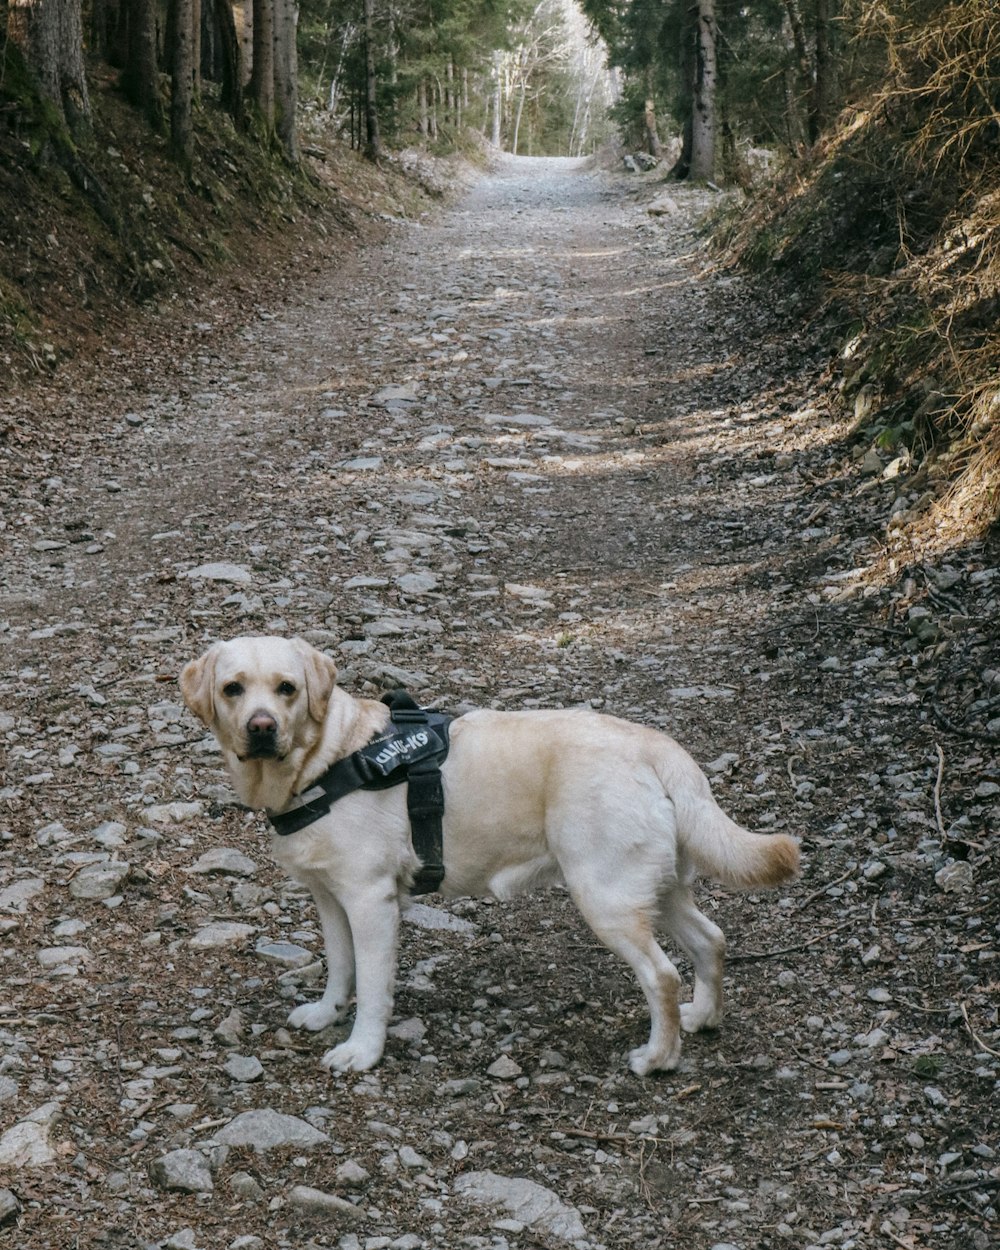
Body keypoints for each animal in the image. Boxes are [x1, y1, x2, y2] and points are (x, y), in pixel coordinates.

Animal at [181, 635, 795, 1075]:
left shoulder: (371, 901)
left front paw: (363, 1050)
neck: (329, 758)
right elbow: (341, 966)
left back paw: (658, 1059)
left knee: (662, 974)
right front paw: (326, 1013)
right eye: (234, 689)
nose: (262, 727)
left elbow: (373, 985)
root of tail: (657, 746)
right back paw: (703, 1017)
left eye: (286, 688)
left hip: (606, 896)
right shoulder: (330, 899)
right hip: (655, 887)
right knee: (711, 939)